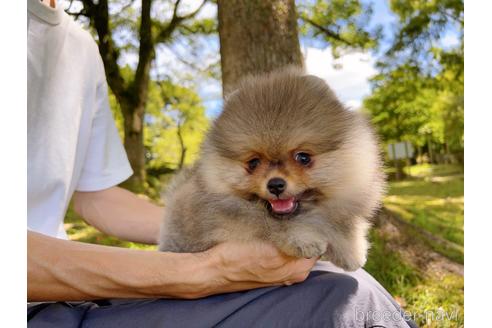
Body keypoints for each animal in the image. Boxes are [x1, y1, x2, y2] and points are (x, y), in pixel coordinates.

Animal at [158, 67, 384, 272]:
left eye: (303, 157)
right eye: (253, 163)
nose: (275, 185)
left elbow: (343, 224)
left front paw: (352, 251)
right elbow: (273, 226)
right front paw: (304, 239)